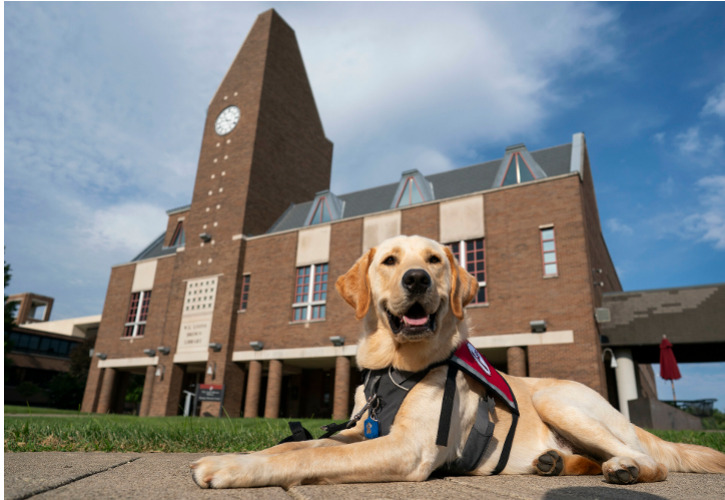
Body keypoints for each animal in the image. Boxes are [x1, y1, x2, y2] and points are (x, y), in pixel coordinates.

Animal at [191, 234, 724, 488]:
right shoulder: (359, 430)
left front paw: (230, 466)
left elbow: (315, 456)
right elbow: (298, 446)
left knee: (651, 461)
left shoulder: (409, 448)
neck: (395, 367)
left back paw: (622, 468)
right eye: (390, 261)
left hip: (558, 398)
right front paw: (250, 455)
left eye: (434, 260)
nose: (416, 279)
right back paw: (553, 461)